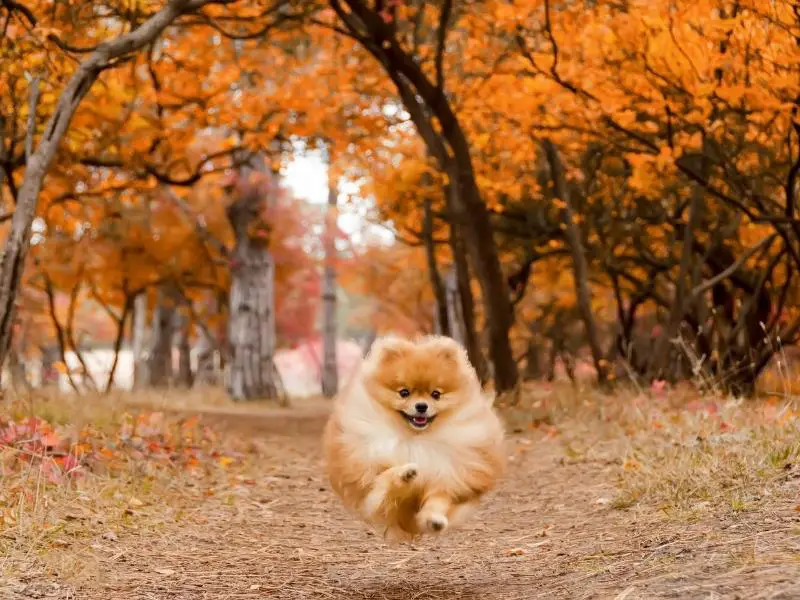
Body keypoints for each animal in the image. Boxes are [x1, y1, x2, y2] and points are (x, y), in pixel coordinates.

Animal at [322, 336, 504, 540]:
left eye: (436, 394)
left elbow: (438, 500)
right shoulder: (370, 484)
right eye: (404, 392)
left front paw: (434, 519)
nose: (421, 406)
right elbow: (385, 479)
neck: (415, 439)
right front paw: (405, 473)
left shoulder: (447, 475)